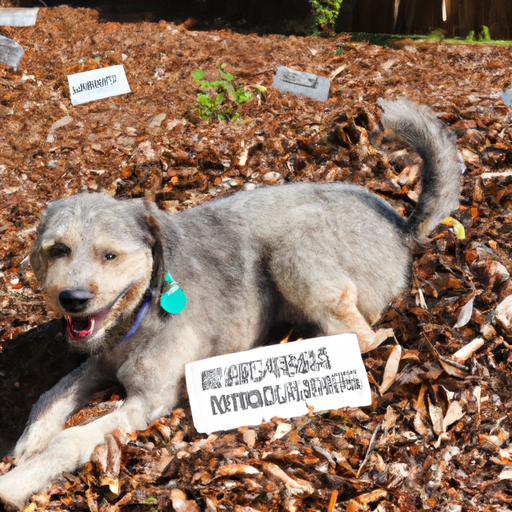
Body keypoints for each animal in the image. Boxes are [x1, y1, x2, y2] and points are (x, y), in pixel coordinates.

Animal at [0, 98, 464, 506]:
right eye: (58, 250)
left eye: (109, 255)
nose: (72, 299)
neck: (141, 313)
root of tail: (400, 224)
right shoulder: (97, 365)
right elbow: (49, 397)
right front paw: (26, 444)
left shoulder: (145, 404)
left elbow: (69, 437)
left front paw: (17, 481)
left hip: (292, 252)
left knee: (363, 336)